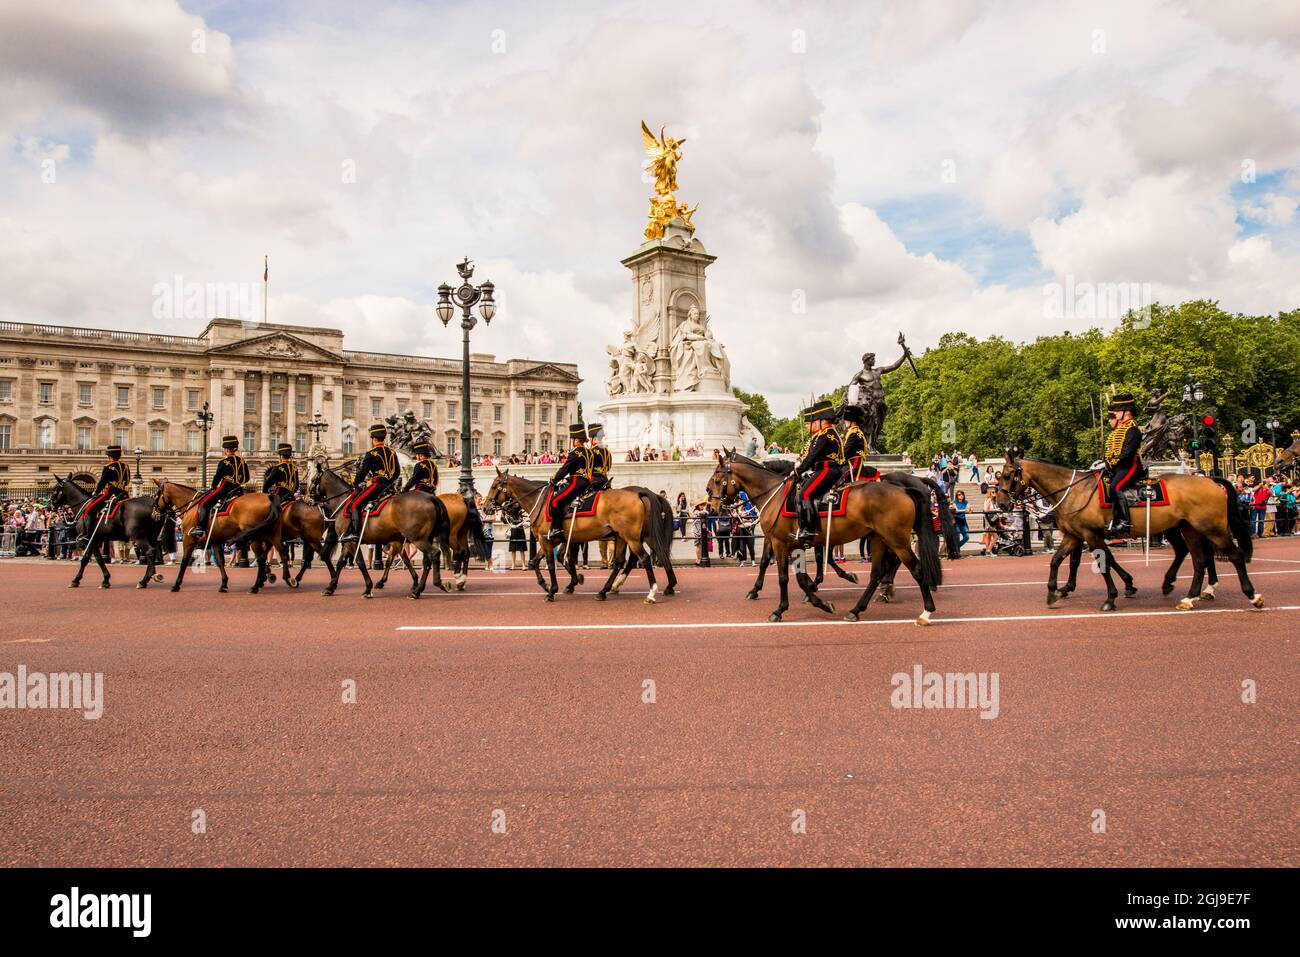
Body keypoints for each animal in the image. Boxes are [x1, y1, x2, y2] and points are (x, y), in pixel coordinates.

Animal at [313, 465, 452, 598]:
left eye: (314, 479)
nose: (310, 499)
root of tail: (431, 498)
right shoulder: (352, 541)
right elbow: (341, 562)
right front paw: (330, 587)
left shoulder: (352, 541)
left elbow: (361, 562)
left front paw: (368, 588)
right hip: (425, 538)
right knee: (427, 560)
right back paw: (417, 590)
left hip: (418, 539)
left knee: (434, 554)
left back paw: (436, 583)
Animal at [483, 468, 676, 600]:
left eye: (494, 486)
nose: (485, 508)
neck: (541, 501)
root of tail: (640, 492)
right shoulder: (554, 540)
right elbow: (537, 561)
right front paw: (552, 585)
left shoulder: (548, 540)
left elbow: (552, 564)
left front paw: (553, 590)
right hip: (628, 536)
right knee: (627, 560)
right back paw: (607, 590)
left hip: (632, 537)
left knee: (644, 558)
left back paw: (651, 592)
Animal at [707, 452, 941, 624]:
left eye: (717, 478)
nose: (712, 506)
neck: (773, 494)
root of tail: (905, 488)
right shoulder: (790, 542)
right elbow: (796, 573)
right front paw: (818, 599)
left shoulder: (781, 542)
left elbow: (785, 576)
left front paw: (780, 609)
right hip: (879, 538)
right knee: (877, 573)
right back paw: (859, 607)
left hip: (896, 539)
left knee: (915, 569)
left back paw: (925, 612)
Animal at [993, 444, 1258, 608]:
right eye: (999, 475)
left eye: (1006, 476)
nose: (1002, 503)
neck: (1072, 490)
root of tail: (1209, 480)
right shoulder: (1076, 535)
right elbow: (1060, 560)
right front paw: (1055, 591)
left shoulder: (1090, 534)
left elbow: (1101, 562)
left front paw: (1111, 596)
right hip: (1187, 527)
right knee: (1198, 557)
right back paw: (1188, 594)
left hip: (1208, 527)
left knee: (1231, 555)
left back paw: (1249, 595)